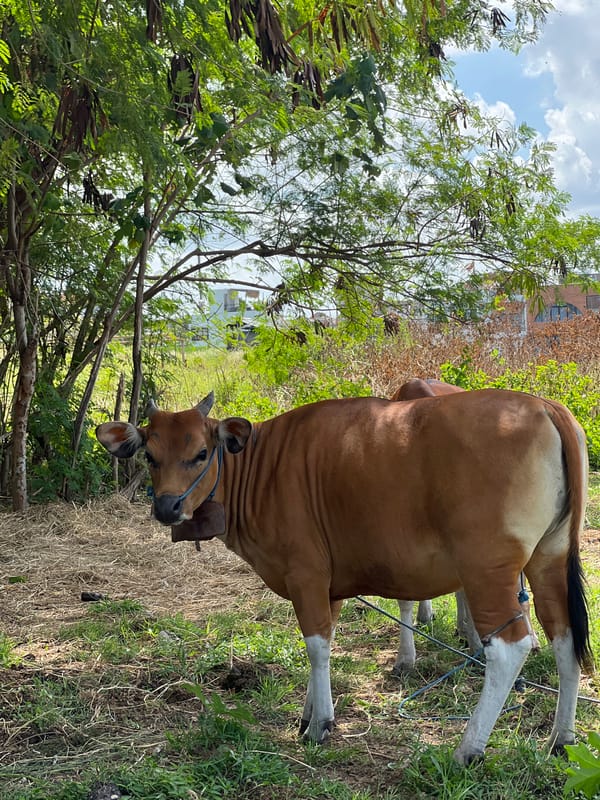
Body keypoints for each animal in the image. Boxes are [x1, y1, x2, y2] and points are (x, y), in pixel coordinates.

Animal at [96, 389, 592, 765]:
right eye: (150, 455)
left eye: (201, 453)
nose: (167, 507)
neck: (262, 468)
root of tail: (544, 407)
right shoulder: (327, 583)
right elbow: (326, 640)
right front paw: (308, 712)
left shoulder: (305, 573)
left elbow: (316, 645)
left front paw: (321, 723)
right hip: (548, 558)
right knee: (565, 638)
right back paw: (561, 739)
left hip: (487, 568)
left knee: (511, 648)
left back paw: (468, 748)